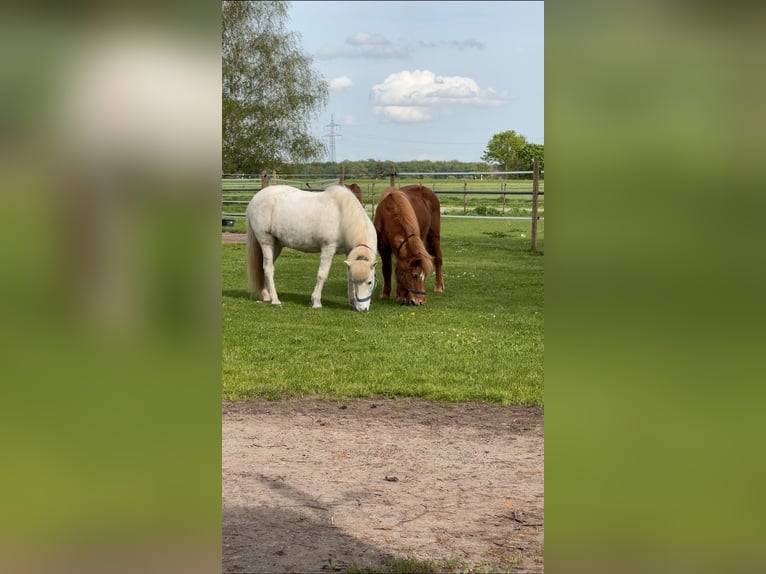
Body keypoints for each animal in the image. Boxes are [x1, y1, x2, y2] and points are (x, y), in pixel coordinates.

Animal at [246, 186, 378, 312]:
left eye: (370, 282)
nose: (363, 309)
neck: (343, 217)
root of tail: (255, 198)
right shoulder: (328, 249)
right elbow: (322, 275)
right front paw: (316, 302)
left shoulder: (348, 253)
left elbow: (348, 277)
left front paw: (352, 302)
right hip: (266, 241)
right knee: (268, 268)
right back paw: (275, 299)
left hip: (276, 245)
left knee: (265, 267)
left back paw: (266, 295)